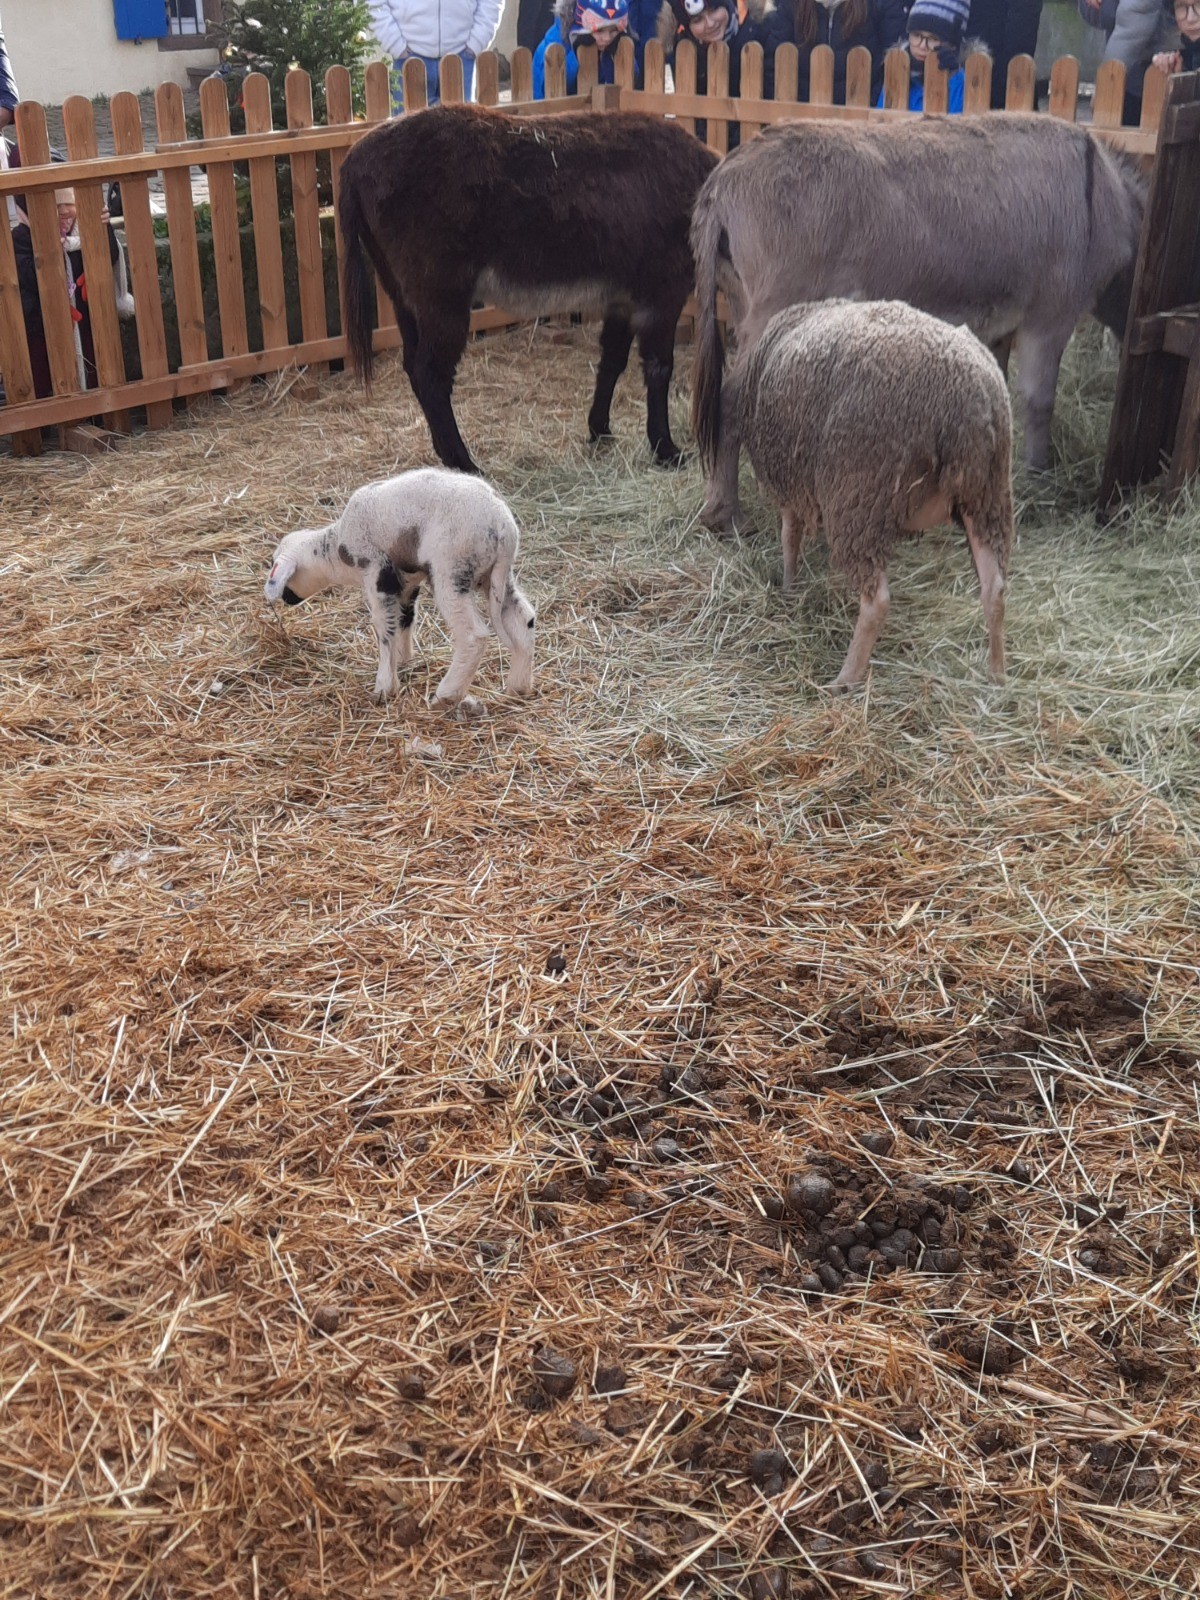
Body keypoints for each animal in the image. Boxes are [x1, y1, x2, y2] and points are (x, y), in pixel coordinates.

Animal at [263, 468, 535, 714]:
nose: (286, 599)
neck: (335, 550)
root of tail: (503, 526)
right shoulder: (407, 580)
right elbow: (404, 619)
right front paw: (403, 662)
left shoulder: (377, 572)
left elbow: (384, 628)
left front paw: (385, 687)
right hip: (495, 576)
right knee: (524, 618)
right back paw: (517, 688)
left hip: (452, 568)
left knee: (473, 635)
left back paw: (445, 696)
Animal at [734, 300, 1013, 691]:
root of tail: (967, 397)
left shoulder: (787, 480)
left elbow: (789, 536)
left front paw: (788, 585)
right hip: (987, 496)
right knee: (994, 587)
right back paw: (997, 674)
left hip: (859, 497)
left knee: (876, 601)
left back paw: (844, 680)